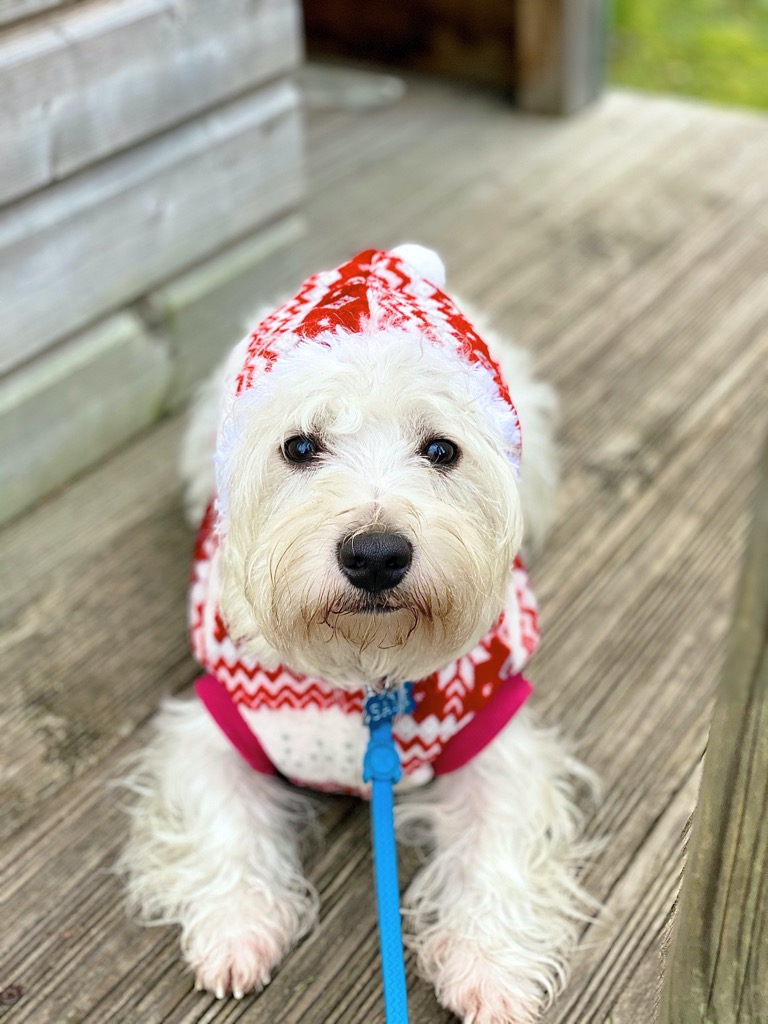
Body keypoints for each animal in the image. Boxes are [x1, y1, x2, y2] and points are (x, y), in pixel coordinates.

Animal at [118, 245, 593, 1024]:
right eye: (299, 445)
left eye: (441, 449)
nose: (375, 555)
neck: (363, 673)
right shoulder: (215, 725)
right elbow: (222, 822)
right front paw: (236, 930)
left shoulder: (495, 735)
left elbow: (498, 846)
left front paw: (492, 969)